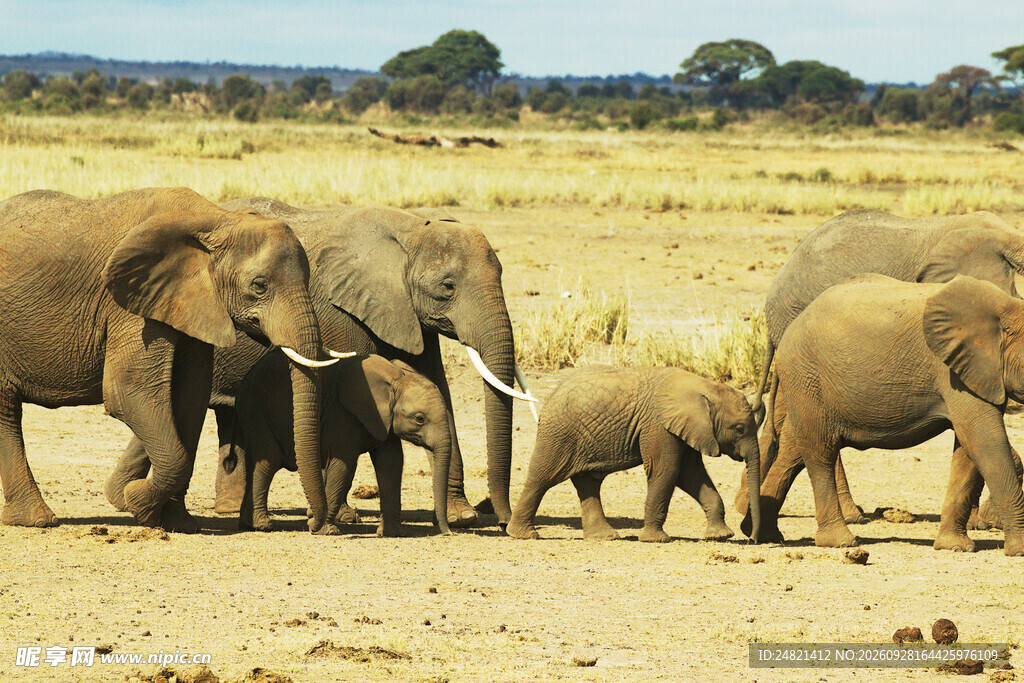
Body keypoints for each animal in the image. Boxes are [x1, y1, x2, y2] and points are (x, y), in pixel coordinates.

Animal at [0, 187, 340, 533]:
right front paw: (137, 504)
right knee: (7, 411)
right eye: (259, 286)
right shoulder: (130, 304)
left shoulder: (192, 302)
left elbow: (189, 398)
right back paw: (39, 521)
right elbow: (128, 391)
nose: (317, 526)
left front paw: (178, 522)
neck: (216, 219)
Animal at [234, 352, 452, 536]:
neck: (395, 378)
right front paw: (325, 530)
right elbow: (343, 466)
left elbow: (391, 463)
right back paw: (262, 525)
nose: (448, 532)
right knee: (268, 462)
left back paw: (248, 523)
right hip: (256, 409)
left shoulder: (384, 420)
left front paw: (391, 534)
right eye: (420, 419)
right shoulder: (342, 415)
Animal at [506, 366, 762, 543]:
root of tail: (551, 395)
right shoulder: (658, 425)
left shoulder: (687, 429)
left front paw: (720, 536)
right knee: (542, 478)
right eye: (739, 429)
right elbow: (667, 470)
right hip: (559, 433)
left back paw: (605, 537)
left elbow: (691, 475)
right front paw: (656, 540)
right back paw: (524, 535)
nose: (752, 539)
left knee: (587, 482)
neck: (705, 387)